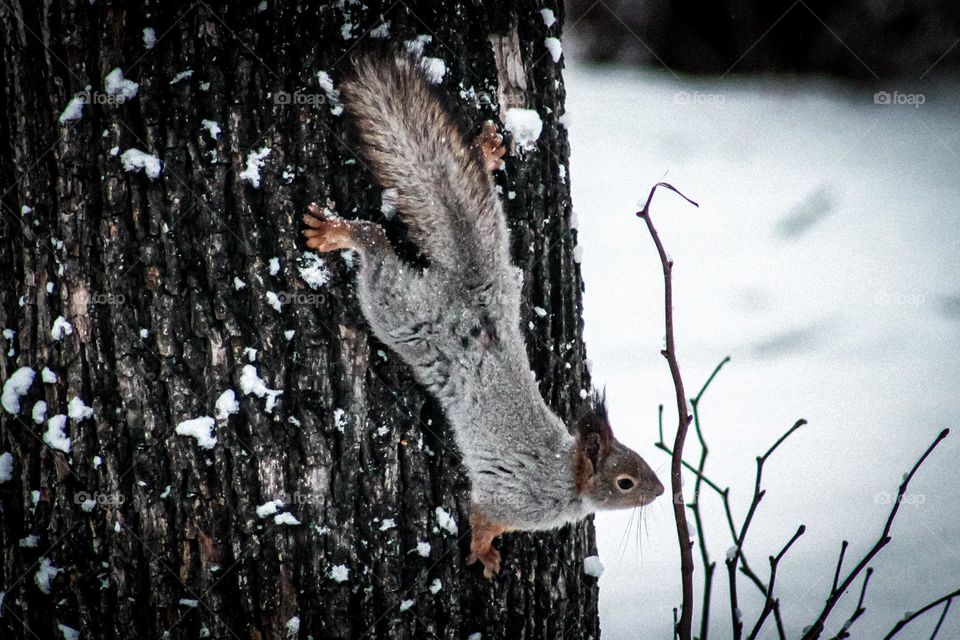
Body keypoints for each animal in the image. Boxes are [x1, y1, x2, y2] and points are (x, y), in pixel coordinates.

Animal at [303, 54, 664, 578]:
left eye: (639, 458)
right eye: (625, 481)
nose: (661, 489)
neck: (566, 477)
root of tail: (475, 290)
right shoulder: (512, 499)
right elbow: (482, 517)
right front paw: (483, 552)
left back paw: (486, 152)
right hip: (397, 309)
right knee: (376, 246)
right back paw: (338, 232)